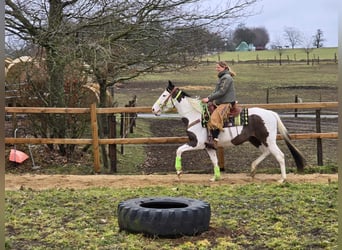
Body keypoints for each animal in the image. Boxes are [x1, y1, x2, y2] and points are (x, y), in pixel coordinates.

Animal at [151, 81, 306, 183]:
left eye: (164, 95)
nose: (153, 109)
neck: (195, 116)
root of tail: (271, 113)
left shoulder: (196, 143)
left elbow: (178, 150)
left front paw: (178, 172)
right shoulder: (208, 146)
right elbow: (214, 161)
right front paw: (215, 177)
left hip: (268, 139)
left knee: (279, 155)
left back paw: (282, 179)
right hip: (255, 139)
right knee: (267, 152)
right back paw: (253, 170)